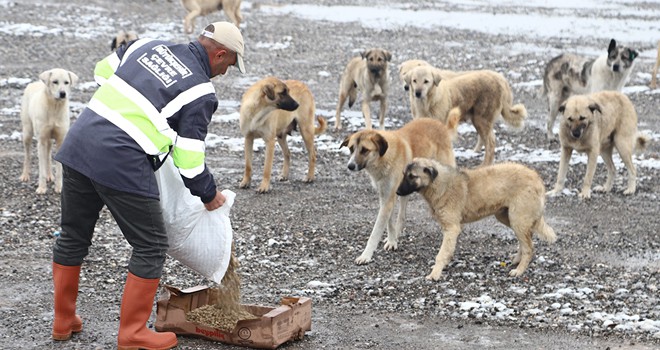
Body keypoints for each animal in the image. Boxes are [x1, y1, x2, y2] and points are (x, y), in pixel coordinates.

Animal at [340, 112, 458, 266]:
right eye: (351, 149)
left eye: (365, 150)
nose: (350, 166)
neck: (384, 158)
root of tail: (441, 125)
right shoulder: (385, 196)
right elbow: (389, 222)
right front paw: (391, 241)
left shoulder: (389, 198)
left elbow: (375, 232)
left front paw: (365, 255)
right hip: (404, 190)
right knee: (402, 215)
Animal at [398, 157, 556, 280]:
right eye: (404, 174)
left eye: (412, 176)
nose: (397, 192)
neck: (440, 185)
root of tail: (537, 178)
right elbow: (446, 251)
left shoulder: (452, 228)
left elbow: (441, 254)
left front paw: (435, 274)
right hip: (508, 217)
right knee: (526, 241)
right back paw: (517, 261)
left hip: (517, 219)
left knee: (529, 247)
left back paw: (519, 270)